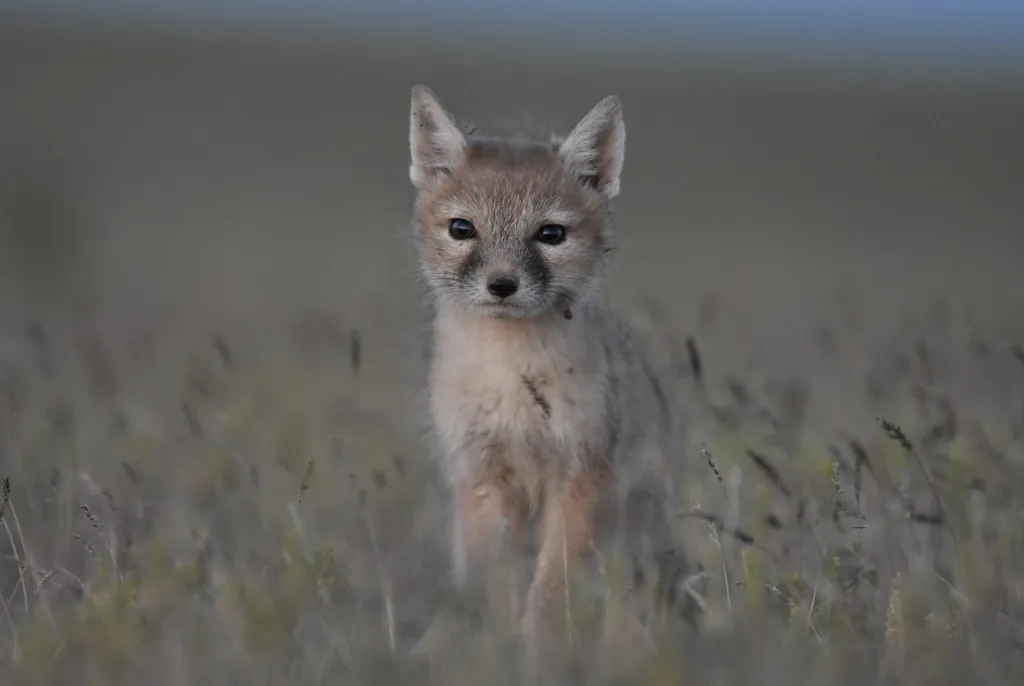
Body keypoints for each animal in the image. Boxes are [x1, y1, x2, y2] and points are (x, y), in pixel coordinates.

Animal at [407, 85, 691, 656]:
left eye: (551, 234)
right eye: (462, 229)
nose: (502, 284)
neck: (508, 374)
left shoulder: (580, 477)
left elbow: (552, 584)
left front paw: (541, 649)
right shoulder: (484, 478)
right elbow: (493, 579)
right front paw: (492, 647)